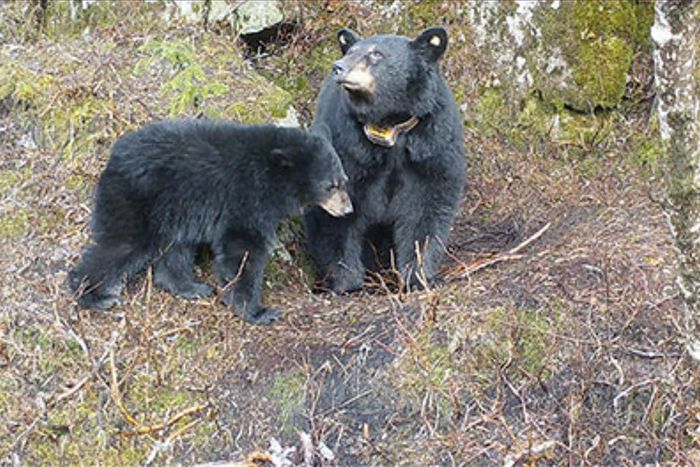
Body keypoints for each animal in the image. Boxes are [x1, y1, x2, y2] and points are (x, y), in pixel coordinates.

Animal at [69, 119, 352, 325]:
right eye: (330, 185)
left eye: (344, 180)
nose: (348, 208)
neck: (271, 177)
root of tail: (112, 158)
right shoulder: (246, 200)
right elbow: (242, 251)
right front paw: (258, 311)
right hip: (137, 202)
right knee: (122, 245)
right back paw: (93, 294)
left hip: (175, 213)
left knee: (175, 252)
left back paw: (190, 287)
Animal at [304, 26, 466, 293]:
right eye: (350, 50)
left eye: (376, 54)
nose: (338, 66)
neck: (390, 126)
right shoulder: (350, 149)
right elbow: (335, 215)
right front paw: (348, 281)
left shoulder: (432, 147)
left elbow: (426, 210)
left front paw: (417, 275)